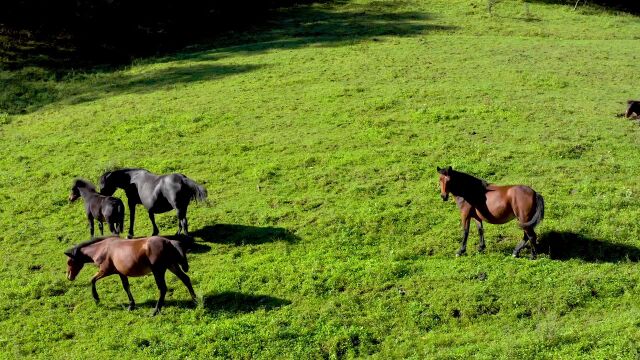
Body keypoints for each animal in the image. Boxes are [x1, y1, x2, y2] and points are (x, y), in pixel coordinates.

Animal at [64, 236, 196, 316]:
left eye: (69, 262)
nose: (69, 277)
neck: (102, 249)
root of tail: (168, 242)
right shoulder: (121, 273)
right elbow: (126, 287)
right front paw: (131, 305)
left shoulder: (105, 270)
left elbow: (92, 280)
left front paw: (96, 299)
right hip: (172, 266)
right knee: (186, 279)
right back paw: (195, 300)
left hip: (158, 271)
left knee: (163, 288)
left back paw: (155, 311)